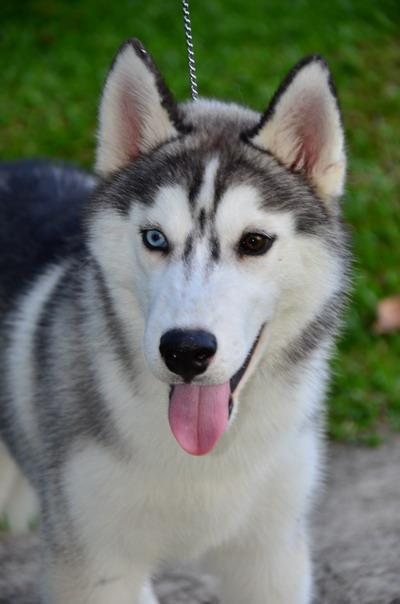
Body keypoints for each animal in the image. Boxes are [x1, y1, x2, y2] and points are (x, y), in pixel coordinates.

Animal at [0, 38, 349, 603]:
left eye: (254, 241)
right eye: (155, 238)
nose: (186, 349)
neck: (201, 461)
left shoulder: (271, 555)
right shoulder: (94, 564)